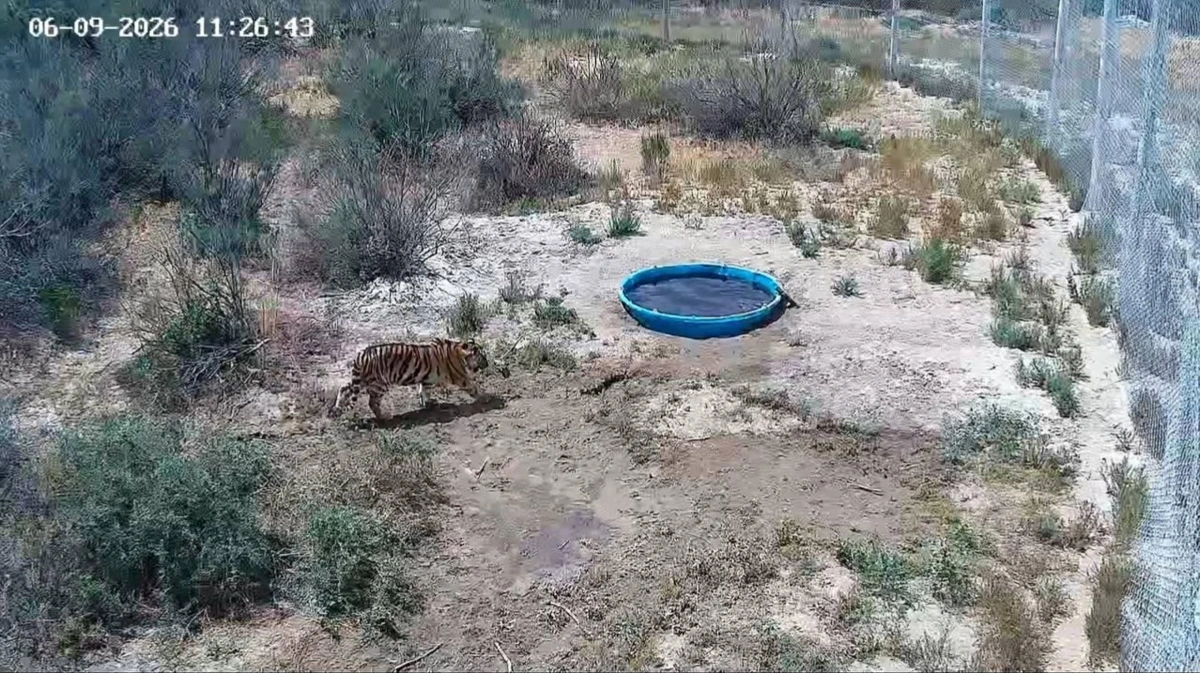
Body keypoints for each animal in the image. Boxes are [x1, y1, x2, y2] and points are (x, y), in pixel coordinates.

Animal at [333, 338, 489, 420]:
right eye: (483, 357)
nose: (488, 364)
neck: (459, 350)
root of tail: (361, 355)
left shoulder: (426, 379)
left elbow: (423, 390)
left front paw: (426, 403)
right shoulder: (460, 377)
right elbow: (473, 386)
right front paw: (487, 397)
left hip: (361, 381)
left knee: (343, 387)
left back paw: (338, 405)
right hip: (379, 384)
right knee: (372, 403)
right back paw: (385, 417)